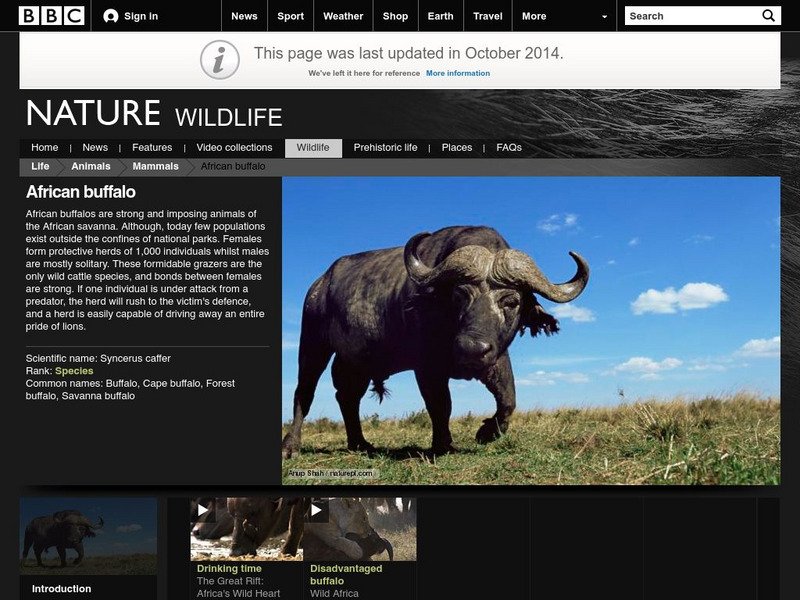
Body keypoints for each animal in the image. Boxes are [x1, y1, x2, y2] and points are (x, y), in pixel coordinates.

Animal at [282, 225, 589, 456]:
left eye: (511, 302)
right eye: (459, 295)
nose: (471, 349)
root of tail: (320, 284)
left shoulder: (496, 357)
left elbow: (508, 400)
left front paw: (486, 432)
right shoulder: (427, 367)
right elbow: (441, 404)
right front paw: (444, 444)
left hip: (354, 361)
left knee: (347, 397)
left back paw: (360, 443)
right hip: (313, 344)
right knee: (304, 393)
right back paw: (291, 446)